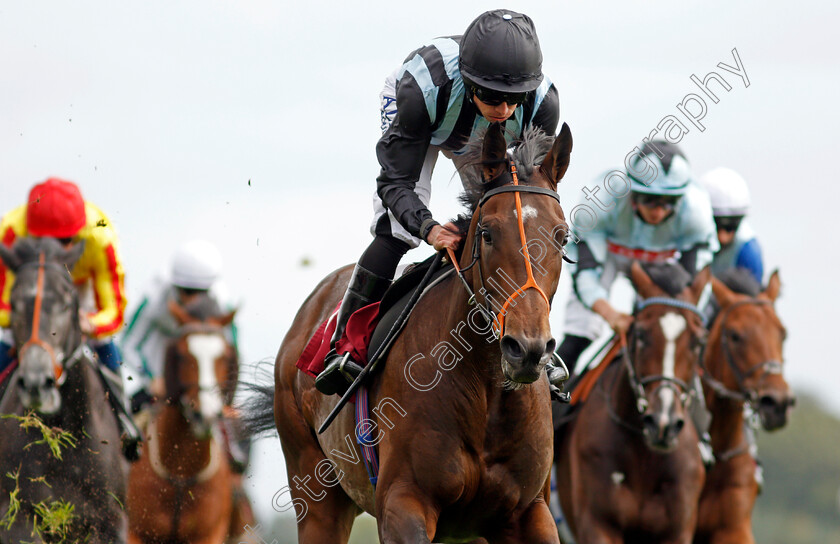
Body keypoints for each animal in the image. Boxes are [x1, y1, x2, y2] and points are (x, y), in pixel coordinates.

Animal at [246, 124, 576, 544]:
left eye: (561, 236)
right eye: (487, 232)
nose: (528, 349)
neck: (485, 392)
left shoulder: (528, 511)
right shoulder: (402, 502)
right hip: (317, 493)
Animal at [556, 262, 712, 540]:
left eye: (698, 341)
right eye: (640, 334)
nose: (663, 422)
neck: (644, 457)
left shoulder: (677, 530)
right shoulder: (598, 524)